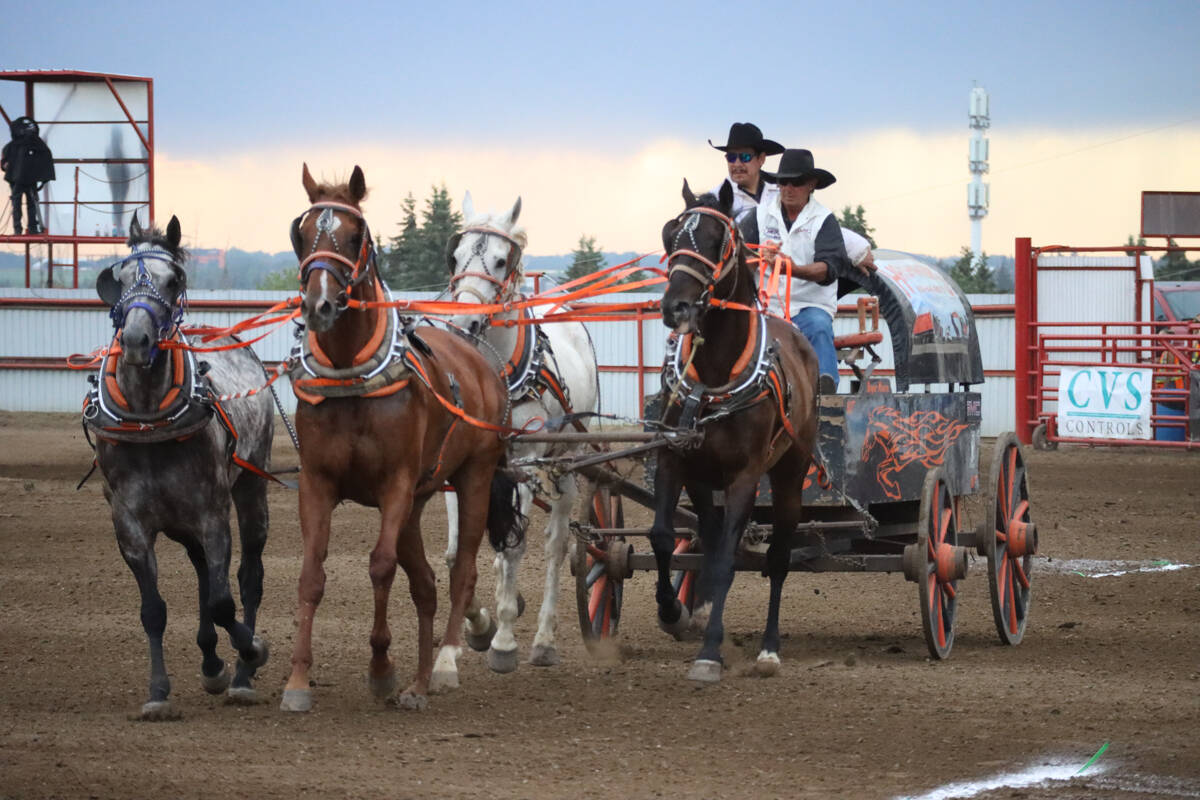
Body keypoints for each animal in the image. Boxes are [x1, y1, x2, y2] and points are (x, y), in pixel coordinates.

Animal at [90, 214, 274, 719]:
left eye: (174, 280)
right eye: (119, 277)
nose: (136, 340)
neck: (149, 418)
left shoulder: (213, 515)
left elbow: (225, 602)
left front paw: (252, 652)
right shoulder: (129, 524)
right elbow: (154, 609)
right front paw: (158, 693)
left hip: (251, 489)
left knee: (248, 579)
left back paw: (241, 675)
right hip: (178, 520)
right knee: (201, 571)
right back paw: (211, 660)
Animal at [285, 164, 525, 714]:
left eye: (356, 236)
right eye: (301, 235)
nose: (319, 305)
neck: (353, 376)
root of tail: (478, 353)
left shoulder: (394, 485)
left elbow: (380, 566)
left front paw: (381, 669)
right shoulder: (317, 483)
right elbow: (311, 575)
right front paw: (298, 680)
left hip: (474, 479)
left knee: (461, 571)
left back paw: (443, 665)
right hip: (419, 501)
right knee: (427, 585)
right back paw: (418, 681)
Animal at [432, 190, 600, 690]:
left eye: (501, 260)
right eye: (455, 256)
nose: (464, 324)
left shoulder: (524, 464)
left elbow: (516, 548)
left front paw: (502, 640)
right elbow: (456, 555)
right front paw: (476, 626)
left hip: (566, 464)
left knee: (554, 544)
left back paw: (543, 640)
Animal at [652, 181, 820, 681]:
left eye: (717, 241)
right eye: (671, 235)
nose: (674, 307)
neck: (714, 372)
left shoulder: (746, 475)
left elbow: (729, 560)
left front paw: (710, 652)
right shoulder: (673, 458)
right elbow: (663, 536)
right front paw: (673, 611)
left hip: (789, 475)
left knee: (778, 558)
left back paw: (768, 648)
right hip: (703, 477)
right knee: (707, 532)